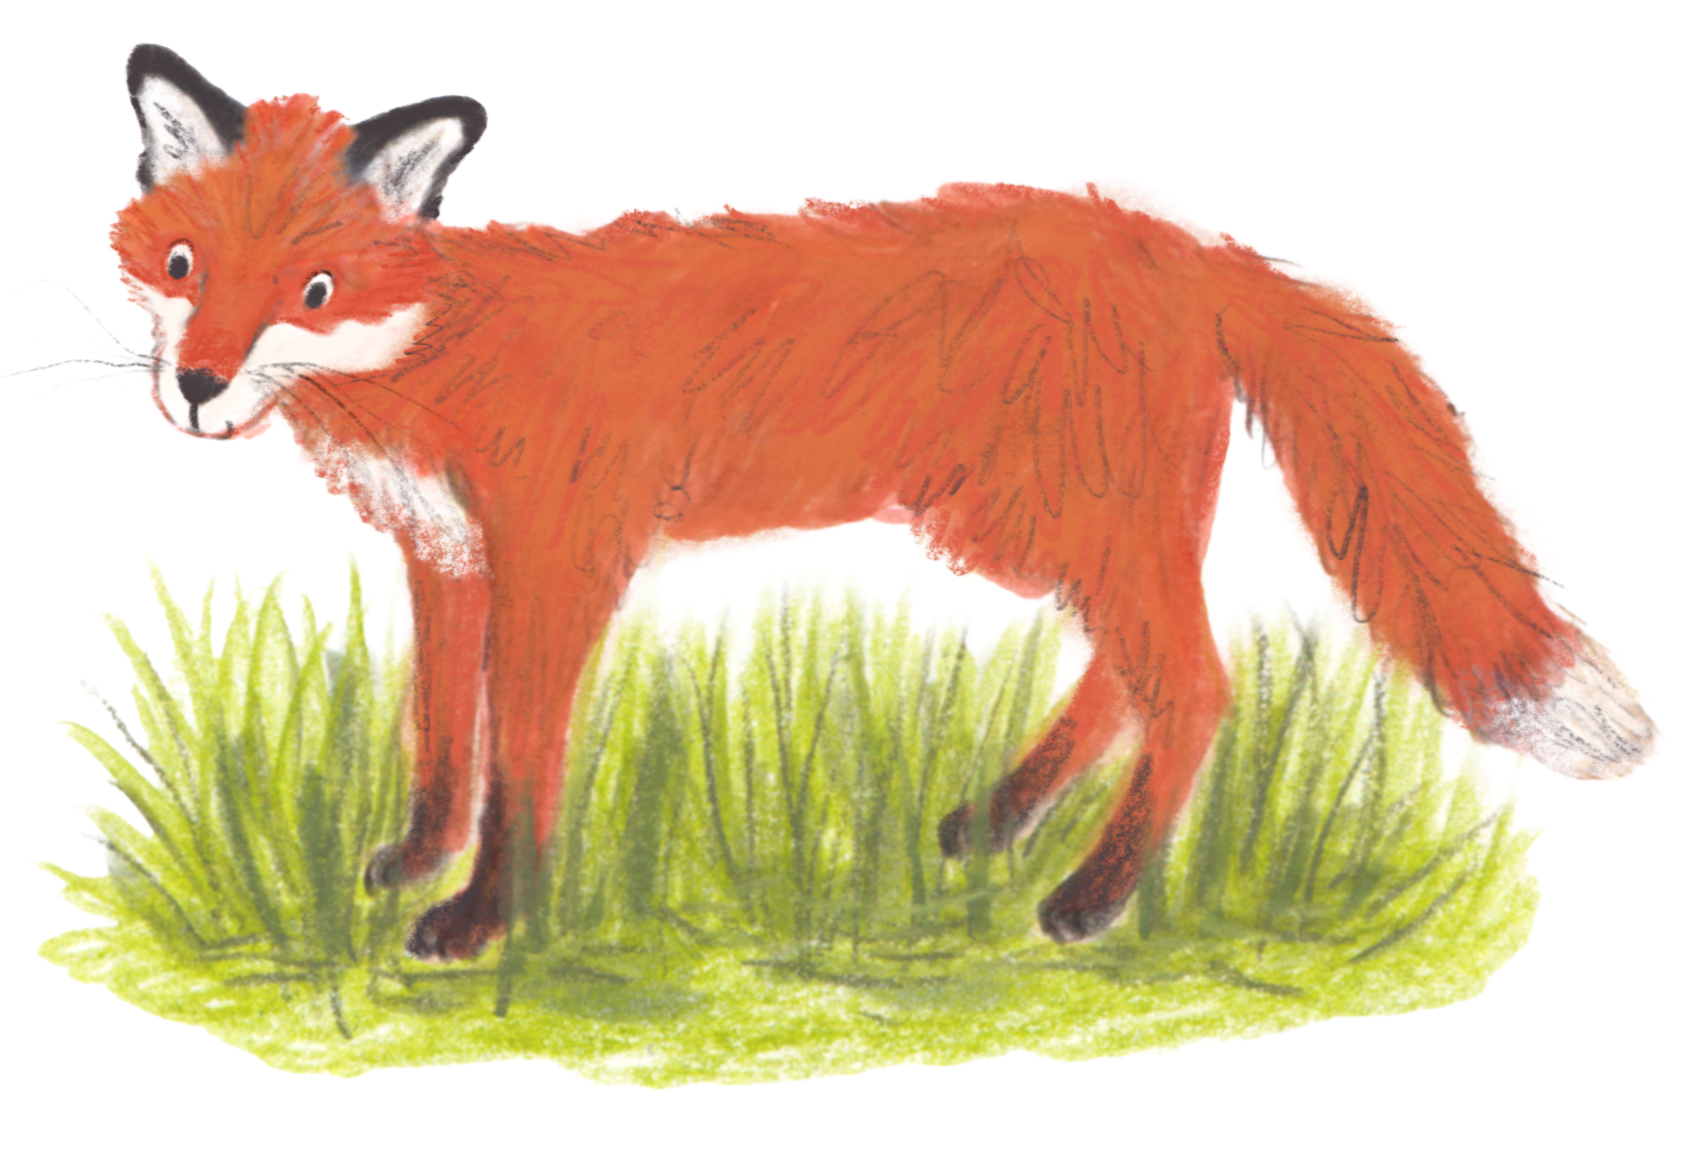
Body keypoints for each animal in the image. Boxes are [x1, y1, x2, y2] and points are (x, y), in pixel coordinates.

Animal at [106, 43, 1665, 962]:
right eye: (183, 266)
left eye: (313, 288)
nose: (194, 388)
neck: (442, 352)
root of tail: (1189, 239)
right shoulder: (446, 561)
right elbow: (440, 739)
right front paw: (410, 864)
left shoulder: (560, 560)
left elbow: (520, 765)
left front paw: (485, 916)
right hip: (1026, 527)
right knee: (1133, 672)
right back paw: (1001, 819)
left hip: (1066, 522)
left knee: (1199, 684)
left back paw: (1090, 895)